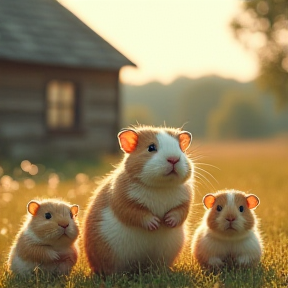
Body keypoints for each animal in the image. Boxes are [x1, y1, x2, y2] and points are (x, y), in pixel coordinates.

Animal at [83, 124, 196, 274]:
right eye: (151, 148)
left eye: (180, 149)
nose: (174, 159)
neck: (160, 187)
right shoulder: (122, 199)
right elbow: (137, 213)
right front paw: (156, 223)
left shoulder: (186, 200)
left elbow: (180, 212)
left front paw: (167, 221)